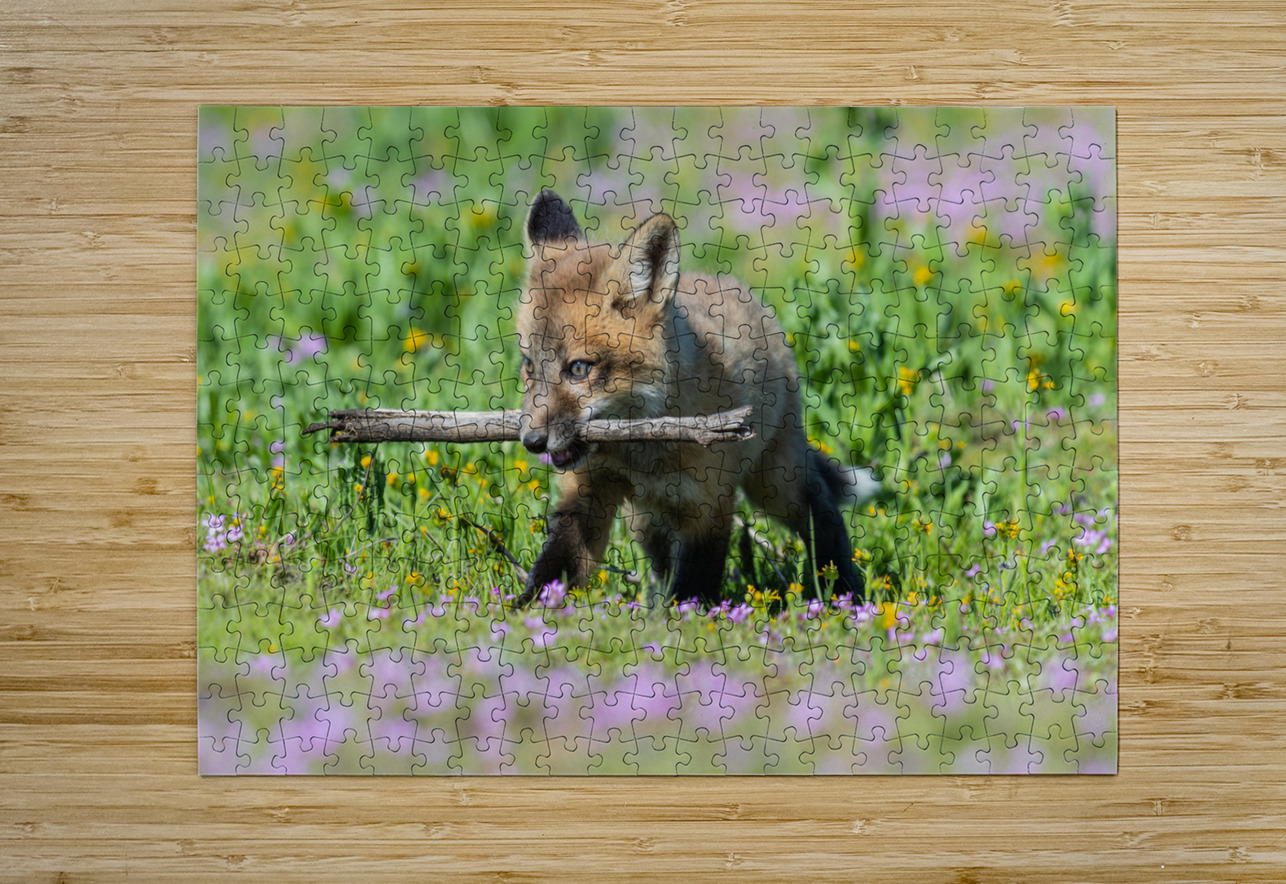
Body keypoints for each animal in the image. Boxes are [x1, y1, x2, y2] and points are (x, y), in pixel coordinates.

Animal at [514, 190, 873, 609]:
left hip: (775, 484)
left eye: (578, 369)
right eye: (528, 364)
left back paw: (843, 588)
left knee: (823, 511)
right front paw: (523, 611)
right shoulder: (589, 492)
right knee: (660, 563)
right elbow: (556, 565)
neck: (641, 450)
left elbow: (695, 584)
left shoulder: (709, 504)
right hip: (645, 521)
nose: (531, 441)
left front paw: (687, 618)